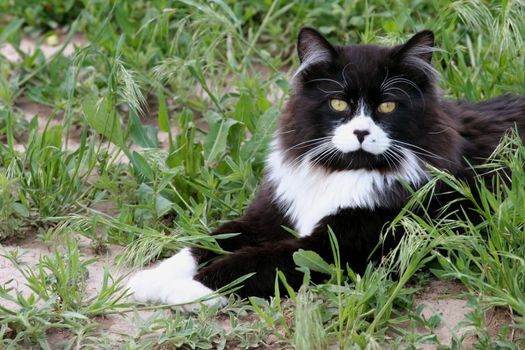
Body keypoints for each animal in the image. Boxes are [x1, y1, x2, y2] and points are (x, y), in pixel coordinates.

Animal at [127, 27, 524, 308]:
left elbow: (246, 263)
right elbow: (206, 243)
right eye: (338, 103)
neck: (341, 172)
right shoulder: (268, 217)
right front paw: (147, 279)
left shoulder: (339, 246)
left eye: (387, 106)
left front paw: (181, 290)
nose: (361, 132)